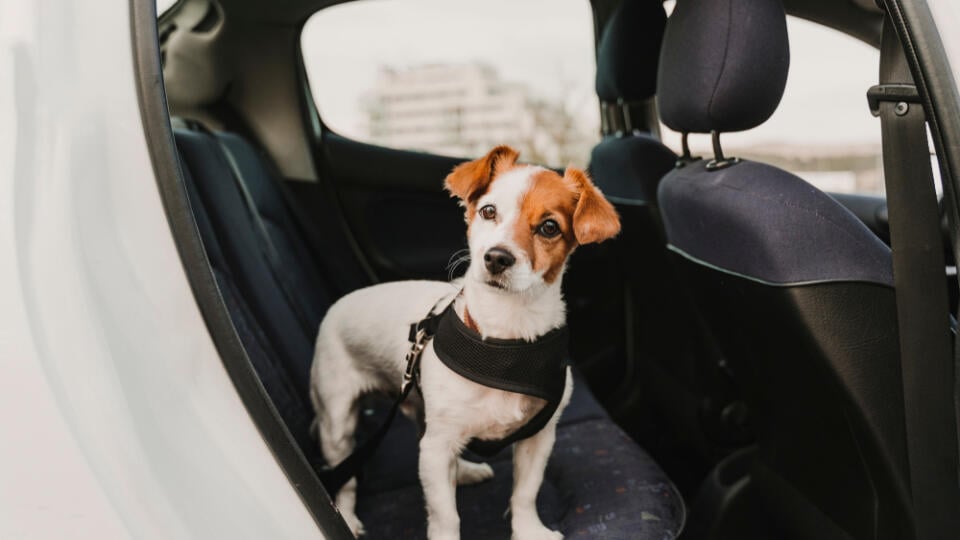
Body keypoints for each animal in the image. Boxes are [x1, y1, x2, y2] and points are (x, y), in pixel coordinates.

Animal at [310, 144, 624, 540]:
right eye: (489, 211)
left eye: (549, 227)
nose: (497, 257)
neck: (505, 339)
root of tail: (337, 305)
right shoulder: (438, 445)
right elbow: (446, 516)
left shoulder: (538, 437)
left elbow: (525, 492)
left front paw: (528, 530)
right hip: (338, 424)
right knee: (347, 478)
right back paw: (348, 518)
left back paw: (464, 472)